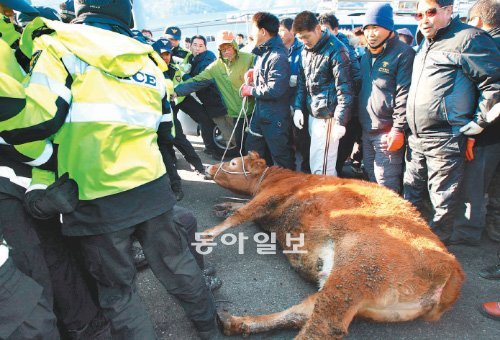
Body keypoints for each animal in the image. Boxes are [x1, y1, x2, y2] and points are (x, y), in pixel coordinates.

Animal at [204, 153, 464, 338]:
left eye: (233, 162)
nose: (208, 168)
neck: (284, 176)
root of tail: (452, 268)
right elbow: (242, 208)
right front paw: (224, 205)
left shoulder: (273, 194)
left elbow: (243, 214)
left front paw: (206, 235)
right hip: (365, 300)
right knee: (304, 312)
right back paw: (236, 323)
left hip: (355, 273)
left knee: (323, 326)